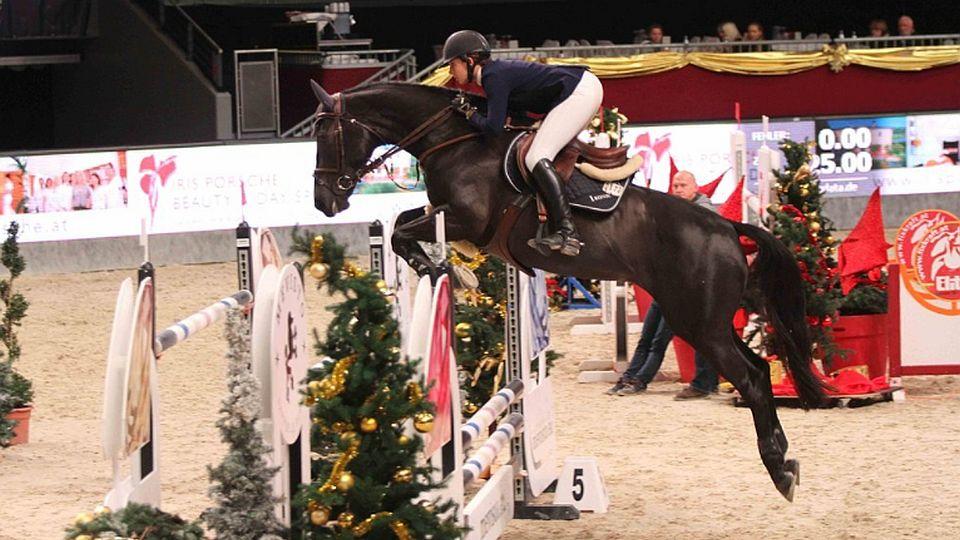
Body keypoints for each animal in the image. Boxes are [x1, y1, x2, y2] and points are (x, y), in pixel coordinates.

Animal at [308, 81, 826, 501]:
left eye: (327, 136)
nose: (324, 202)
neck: (453, 142)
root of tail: (726, 226)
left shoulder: (466, 219)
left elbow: (401, 229)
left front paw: (444, 270)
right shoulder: (446, 214)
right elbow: (403, 222)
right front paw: (452, 271)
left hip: (698, 322)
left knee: (753, 378)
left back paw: (779, 471)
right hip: (709, 318)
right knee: (758, 366)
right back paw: (785, 457)